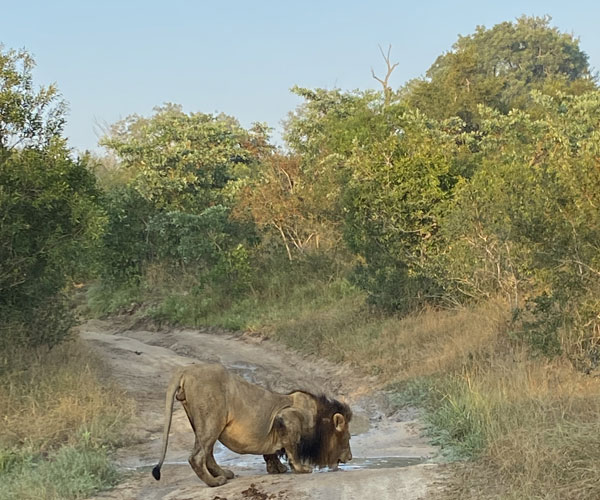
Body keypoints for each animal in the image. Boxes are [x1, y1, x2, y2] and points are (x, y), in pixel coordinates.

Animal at [152, 362, 354, 486]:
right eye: (348, 437)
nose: (351, 457)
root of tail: (186, 370)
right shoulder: (287, 418)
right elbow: (292, 448)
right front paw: (301, 469)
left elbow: (272, 452)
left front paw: (276, 469)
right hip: (212, 419)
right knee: (197, 456)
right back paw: (215, 482)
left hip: (201, 423)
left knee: (207, 453)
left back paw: (224, 474)